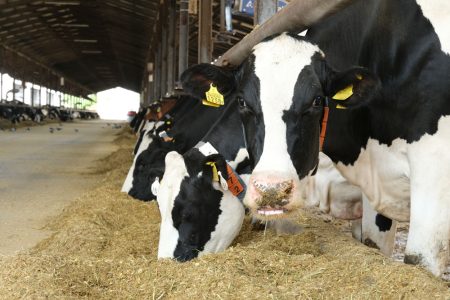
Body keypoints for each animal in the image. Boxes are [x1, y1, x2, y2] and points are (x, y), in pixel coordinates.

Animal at [181, 0, 450, 276]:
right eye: (242, 102)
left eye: (317, 101)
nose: (272, 190)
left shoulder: (434, 170)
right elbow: (371, 243)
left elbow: (418, 262)